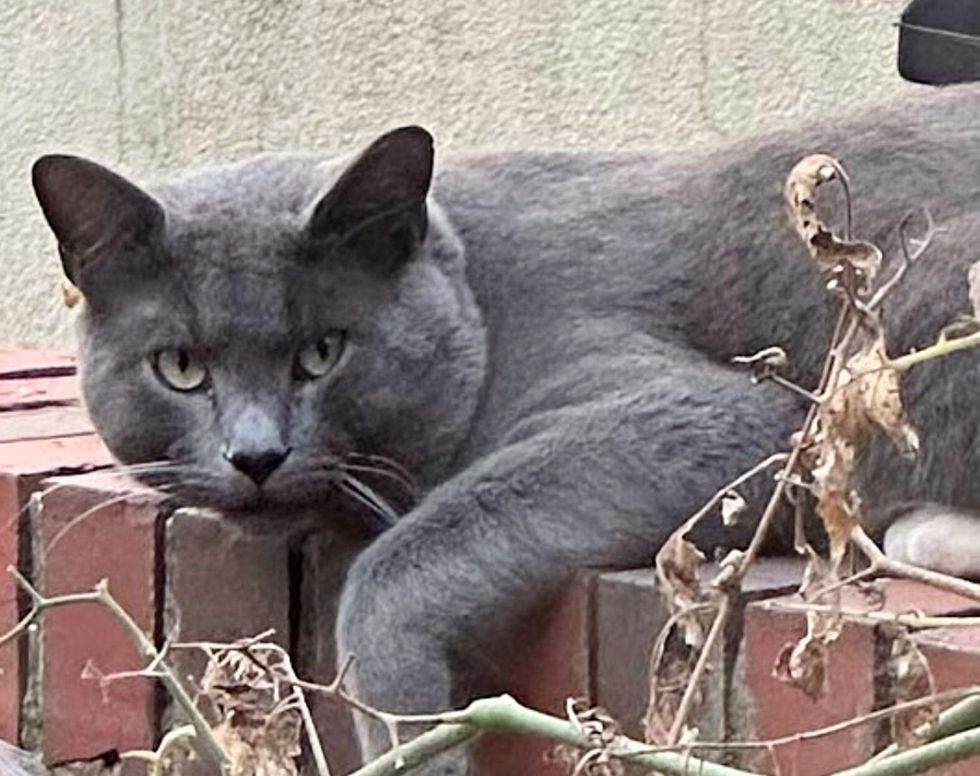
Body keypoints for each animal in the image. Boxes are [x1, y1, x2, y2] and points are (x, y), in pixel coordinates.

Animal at [17, 85, 980, 776]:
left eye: (323, 352)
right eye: (180, 366)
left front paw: (413, 740)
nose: (256, 454)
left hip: (921, 295)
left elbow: (395, 565)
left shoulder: (719, 413)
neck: (476, 286)